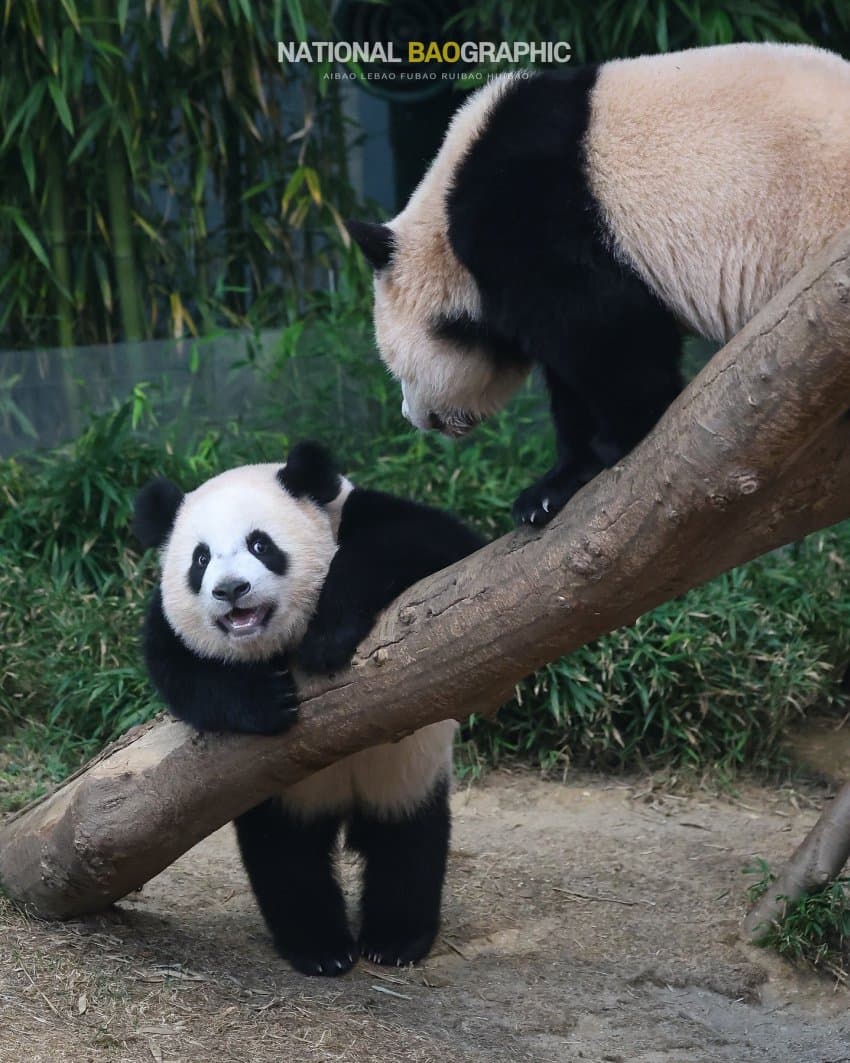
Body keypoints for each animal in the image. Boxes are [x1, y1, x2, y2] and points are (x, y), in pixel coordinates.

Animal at [129, 442, 482, 977]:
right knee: (287, 857)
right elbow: (179, 669)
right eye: (200, 559)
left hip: (408, 771)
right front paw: (267, 701)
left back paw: (395, 939)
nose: (230, 590)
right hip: (279, 793)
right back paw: (321, 948)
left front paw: (326, 638)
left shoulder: (362, 518)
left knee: (409, 840)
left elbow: (437, 545)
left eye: (261, 545)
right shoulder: (171, 625)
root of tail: (344, 797)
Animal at [346, 45, 850, 527]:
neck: (444, 224)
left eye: (394, 368)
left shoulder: (529, 216)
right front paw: (549, 490)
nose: (413, 417)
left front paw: (618, 438)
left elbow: (605, 329)